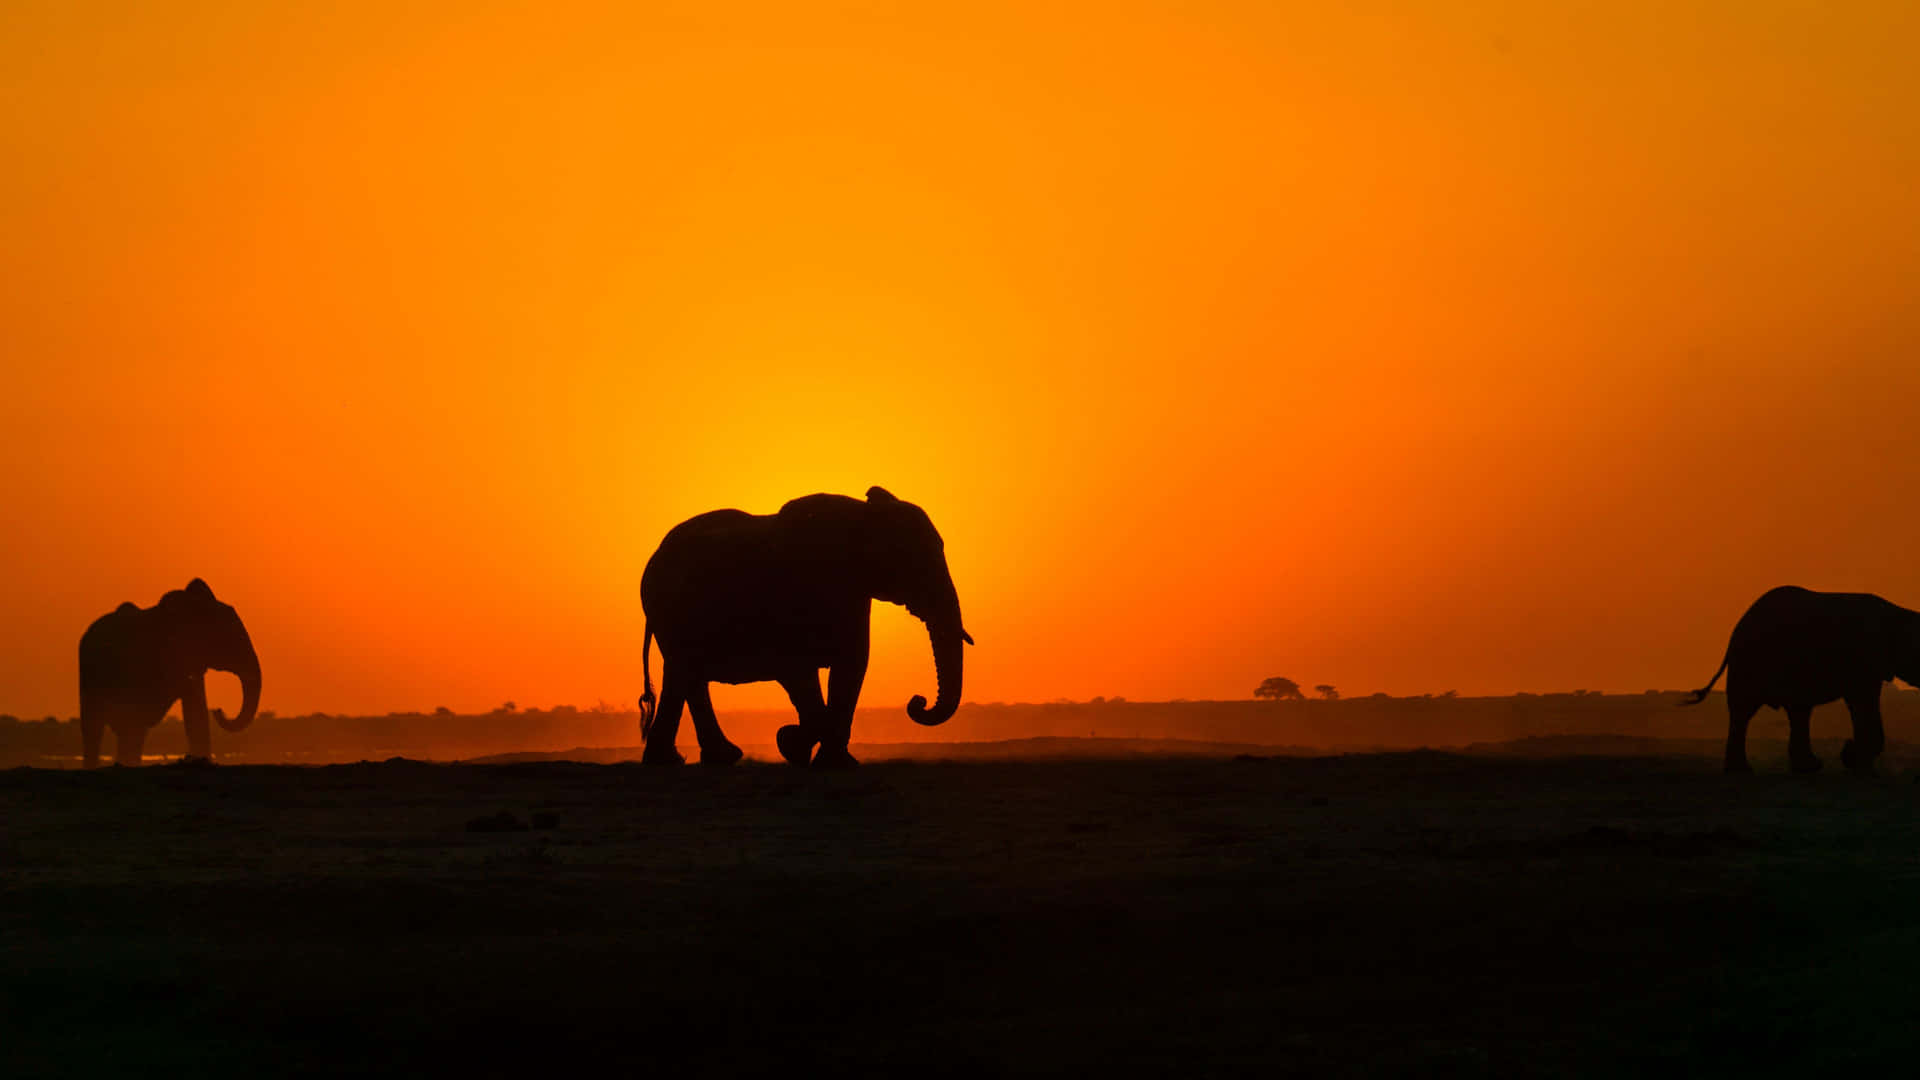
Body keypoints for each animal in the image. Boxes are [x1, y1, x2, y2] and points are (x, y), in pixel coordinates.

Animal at [641, 484, 975, 760]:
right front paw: (792, 743)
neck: (863, 516)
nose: (917, 701)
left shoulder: (854, 594)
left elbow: (851, 666)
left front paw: (829, 760)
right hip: (669, 610)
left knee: (684, 676)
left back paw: (701, 759)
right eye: (914, 561)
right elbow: (797, 668)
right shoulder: (796, 592)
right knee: (685, 673)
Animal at [1689, 584, 1912, 768]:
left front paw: (1852, 758)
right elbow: (1863, 699)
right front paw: (1852, 758)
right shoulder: (1863, 658)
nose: (1846, 746)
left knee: (1791, 710)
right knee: (1746, 710)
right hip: (1751, 662)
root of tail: (1734, 634)